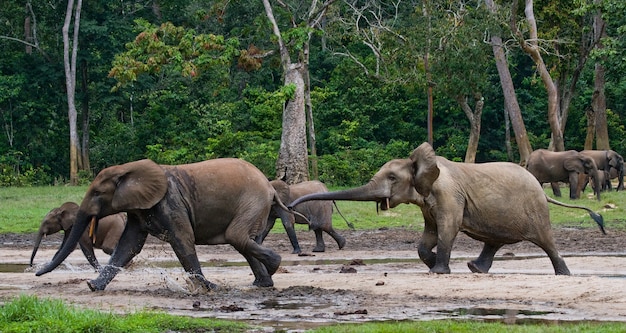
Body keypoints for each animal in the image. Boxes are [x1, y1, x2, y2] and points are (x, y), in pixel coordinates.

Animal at [34, 158, 288, 290]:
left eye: (97, 193)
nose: (35, 271)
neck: (128, 169)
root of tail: (270, 186)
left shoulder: (171, 202)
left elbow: (183, 240)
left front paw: (210, 287)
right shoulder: (138, 209)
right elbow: (128, 246)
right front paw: (93, 286)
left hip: (253, 201)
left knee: (236, 236)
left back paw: (274, 266)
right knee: (243, 241)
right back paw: (263, 283)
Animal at [288, 141, 604, 274]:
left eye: (392, 178)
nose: (290, 205)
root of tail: (540, 189)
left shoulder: (449, 196)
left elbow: (446, 230)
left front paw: (438, 271)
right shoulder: (429, 202)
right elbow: (428, 235)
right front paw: (431, 265)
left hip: (536, 210)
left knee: (545, 240)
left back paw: (564, 274)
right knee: (494, 241)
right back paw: (475, 269)